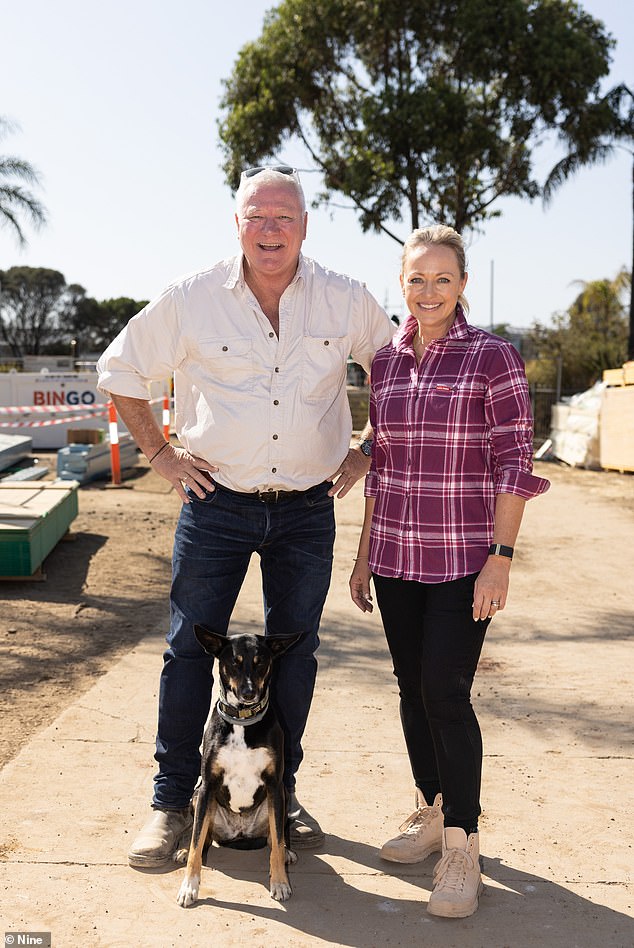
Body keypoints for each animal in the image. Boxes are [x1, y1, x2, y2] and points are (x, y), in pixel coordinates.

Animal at [173, 624, 302, 908]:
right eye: (234, 662)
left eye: (260, 662)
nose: (248, 693)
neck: (243, 722)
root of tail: (239, 833)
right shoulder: (208, 786)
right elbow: (197, 842)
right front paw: (189, 887)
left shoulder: (275, 785)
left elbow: (277, 843)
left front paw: (280, 883)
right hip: (198, 797)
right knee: (202, 837)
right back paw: (183, 849)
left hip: (281, 797)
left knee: (275, 837)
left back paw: (287, 851)